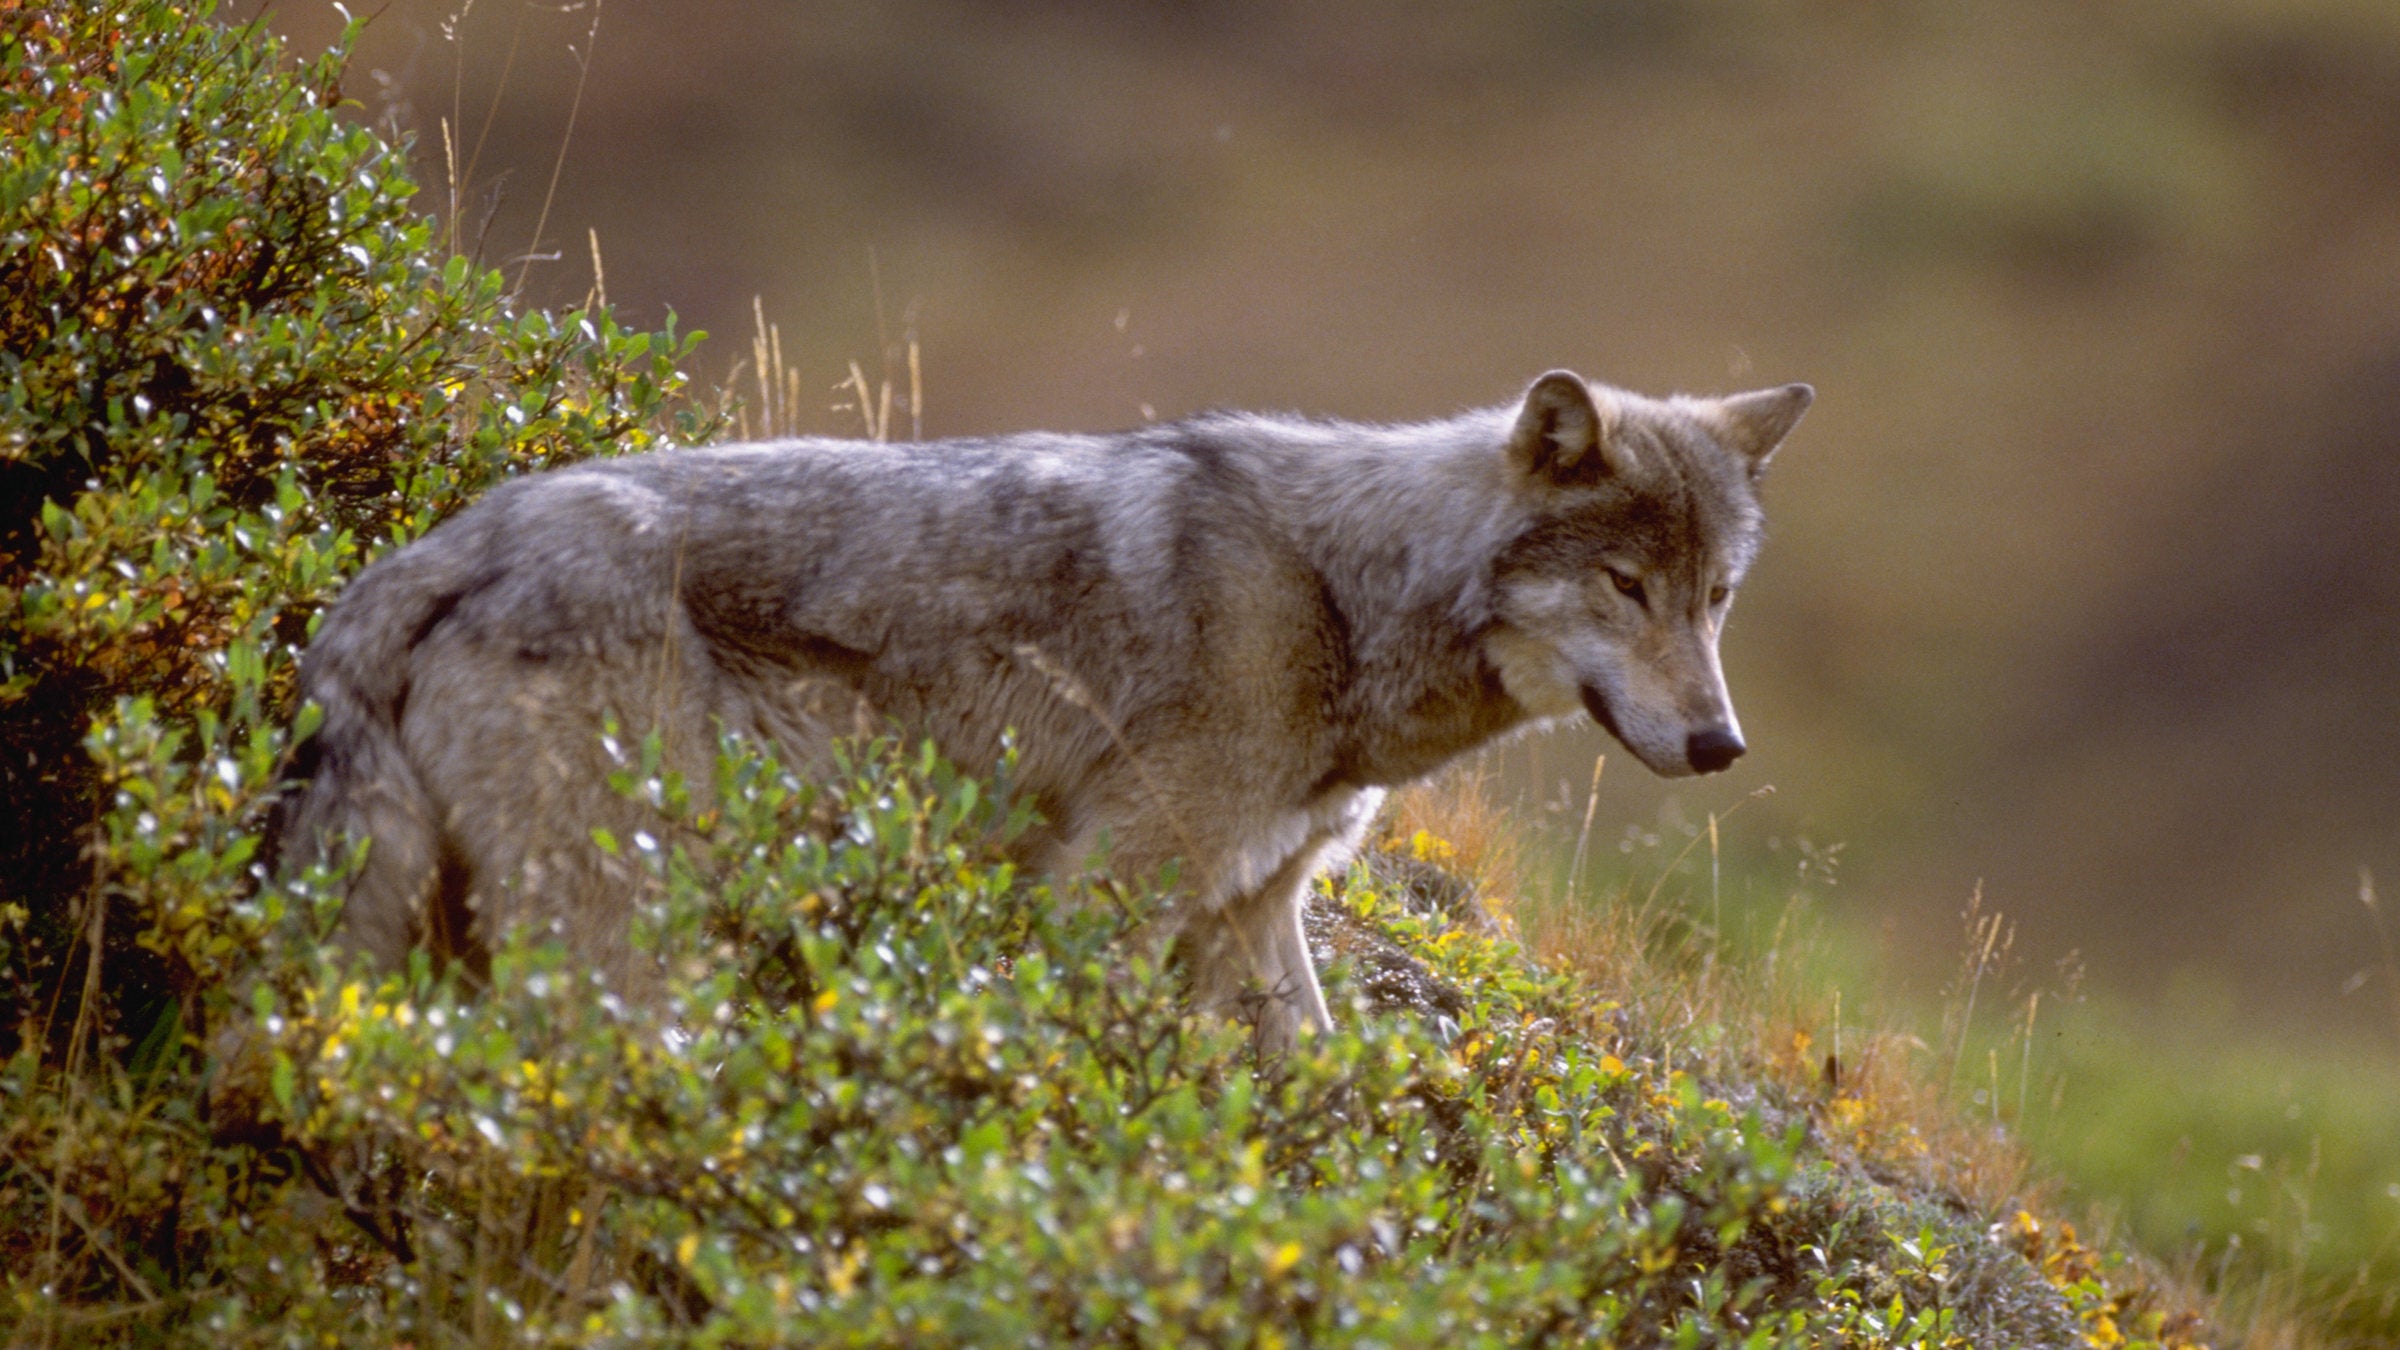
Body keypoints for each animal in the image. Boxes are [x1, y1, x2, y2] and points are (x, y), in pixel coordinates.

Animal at [285, 369, 1804, 1052]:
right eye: (1625, 586)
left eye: (1719, 596)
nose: (1722, 744)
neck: (1339, 595)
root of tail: (440, 549)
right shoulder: (1105, 895)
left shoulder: (1255, 912)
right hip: (633, 943)